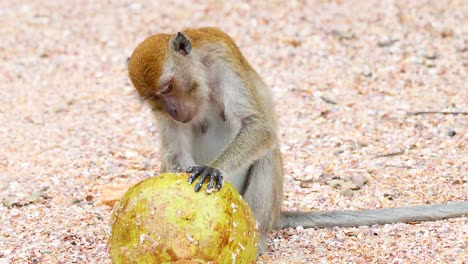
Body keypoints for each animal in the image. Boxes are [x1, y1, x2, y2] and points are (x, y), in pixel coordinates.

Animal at [125, 27, 468, 256]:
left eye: (167, 88)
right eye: (154, 100)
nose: (172, 111)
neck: (201, 69)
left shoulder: (223, 59)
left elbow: (259, 127)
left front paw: (212, 169)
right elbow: (174, 155)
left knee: (266, 153)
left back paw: (257, 242)